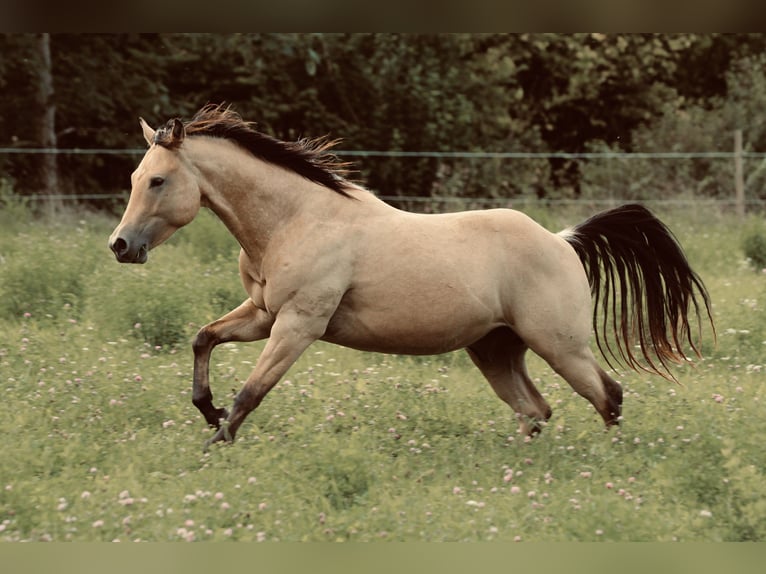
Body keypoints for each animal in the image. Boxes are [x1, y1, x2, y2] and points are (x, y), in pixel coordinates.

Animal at [108, 104, 714, 448]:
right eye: (136, 176)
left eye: (158, 181)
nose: (120, 246)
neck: (298, 219)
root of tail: (564, 241)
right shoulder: (263, 315)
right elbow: (202, 338)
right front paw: (207, 412)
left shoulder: (298, 324)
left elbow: (252, 393)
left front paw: (215, 445)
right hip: (496, 349)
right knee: (536, 410)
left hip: (559, 344)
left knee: (608, 396)